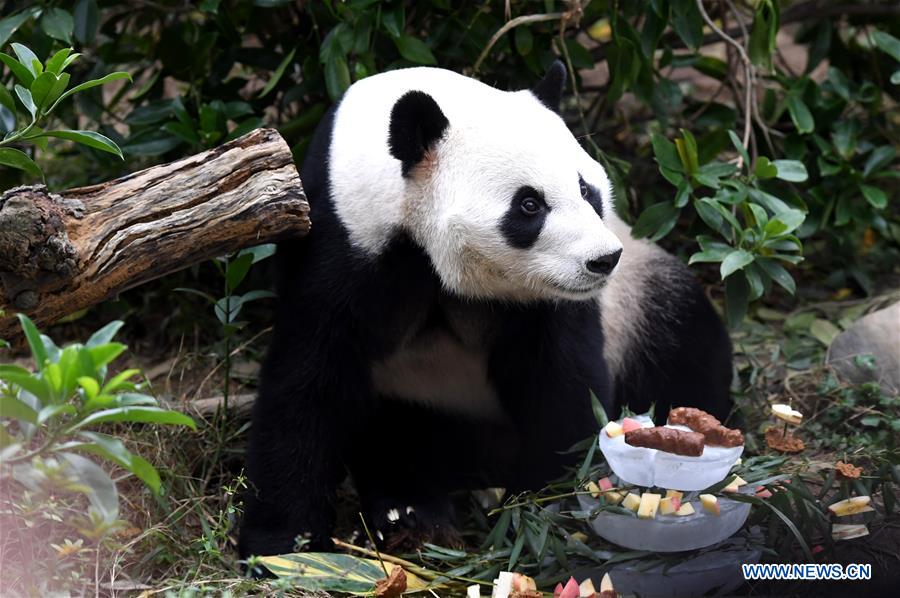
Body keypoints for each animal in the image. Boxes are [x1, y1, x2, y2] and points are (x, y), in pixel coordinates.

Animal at [238, 62, 732, 559]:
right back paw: (411, 513)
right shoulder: (340, 241)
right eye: (529, 204)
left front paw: (541, 509)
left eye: (586, 189)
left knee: (679, 338)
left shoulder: (548, 301)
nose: (602, 260)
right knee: (401, 434)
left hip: (636, 295)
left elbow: (560, 383)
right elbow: (308, 382)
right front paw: (283, 544)